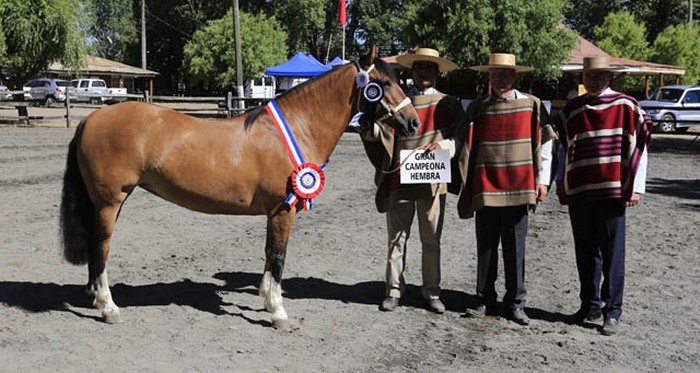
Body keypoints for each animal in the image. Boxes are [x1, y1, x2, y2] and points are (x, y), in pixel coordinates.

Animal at [58, 47, 416, 332]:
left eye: (400, 80)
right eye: (383, 84)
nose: (412, 122)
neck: (297, 127)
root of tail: (92, 119)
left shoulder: (274, 212)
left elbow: (269, 254)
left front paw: (267, 298)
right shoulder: (283, 210)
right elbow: (279, 256)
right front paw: (279, 313)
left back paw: (96, 298)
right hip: (109, 202)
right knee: (100, 247)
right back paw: (108, 307)